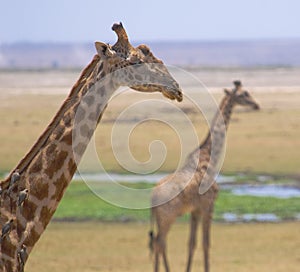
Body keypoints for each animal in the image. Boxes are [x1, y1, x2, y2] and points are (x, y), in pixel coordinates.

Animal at [150, 81, 260, 272]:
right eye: (244, 94)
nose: (256, 105)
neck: (209, 157)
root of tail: (152, 198)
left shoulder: (195, 210)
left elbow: (192, 243)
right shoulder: (209, 205)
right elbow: (206, 243)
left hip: (160, 218)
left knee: (159, 243)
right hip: (168, 217)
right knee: (160, 242)